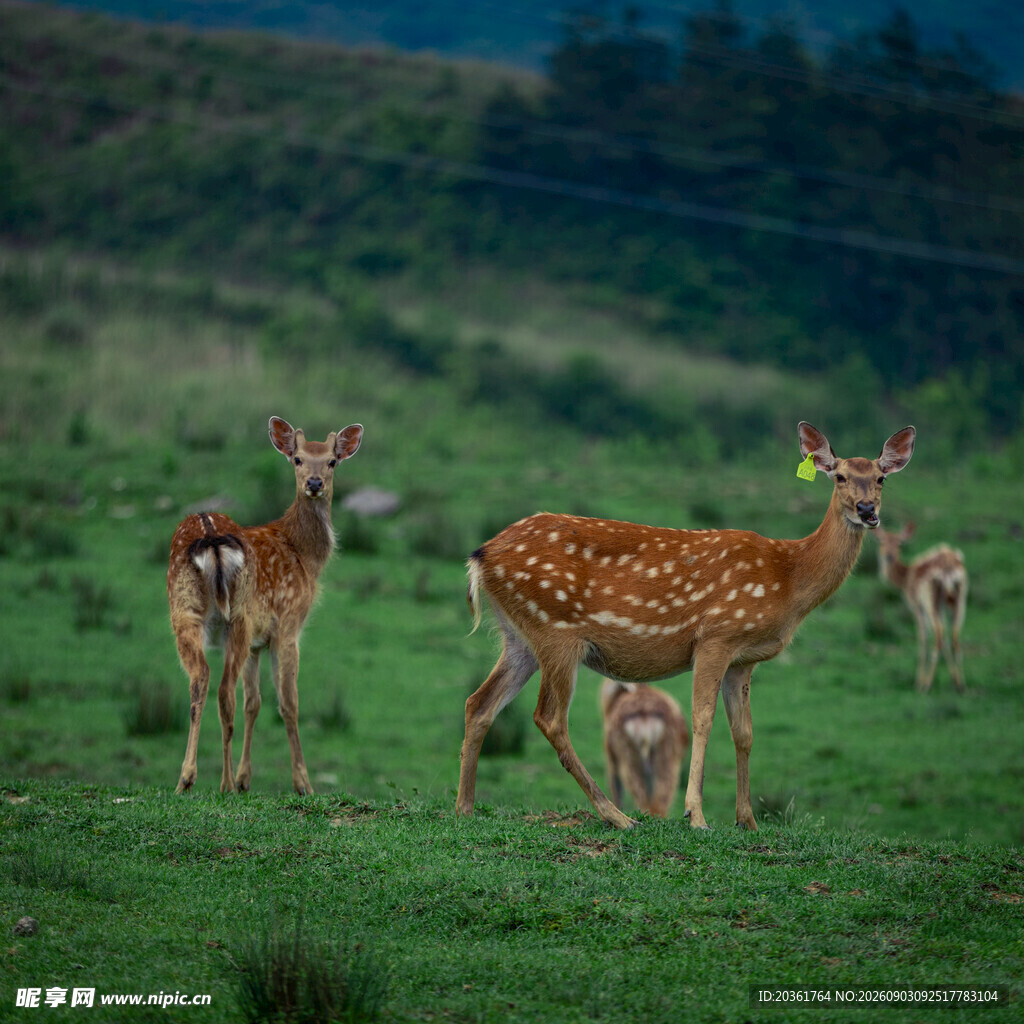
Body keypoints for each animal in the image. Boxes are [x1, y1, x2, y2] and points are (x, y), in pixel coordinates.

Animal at [168, 416, 363, 795]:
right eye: (298, 459)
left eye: (332, 461)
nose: (314, 483)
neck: (304, 555)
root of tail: (210, 537)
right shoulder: (288, 624)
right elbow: (288, 703)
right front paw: (302, 783)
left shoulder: (258, 643)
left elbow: (254, 703)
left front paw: (247, 779)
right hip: (238, 616)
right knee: (223, 691)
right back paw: (223, 783)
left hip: (184, 609)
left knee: (201, 680)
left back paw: (187, 778)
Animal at [600, 679, 689, 818]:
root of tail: (645, 714)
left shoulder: (611, 759)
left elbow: (616, 791)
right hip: (666, 757)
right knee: (659, 798)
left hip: (629, 757)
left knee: (645, 800)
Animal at [875, 522, 967, 693]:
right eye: (881, 541)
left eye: (899, 543)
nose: (888, 556)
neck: (905, 580)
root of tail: (949, 569)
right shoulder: (942, 607)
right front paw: (953, 679)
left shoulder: (916, 605)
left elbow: (923, 637)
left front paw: (918, 682)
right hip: (959, 599)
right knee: (954, 636)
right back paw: (961, 685)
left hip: (930, 600)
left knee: (938, 635)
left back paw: (926, 685)